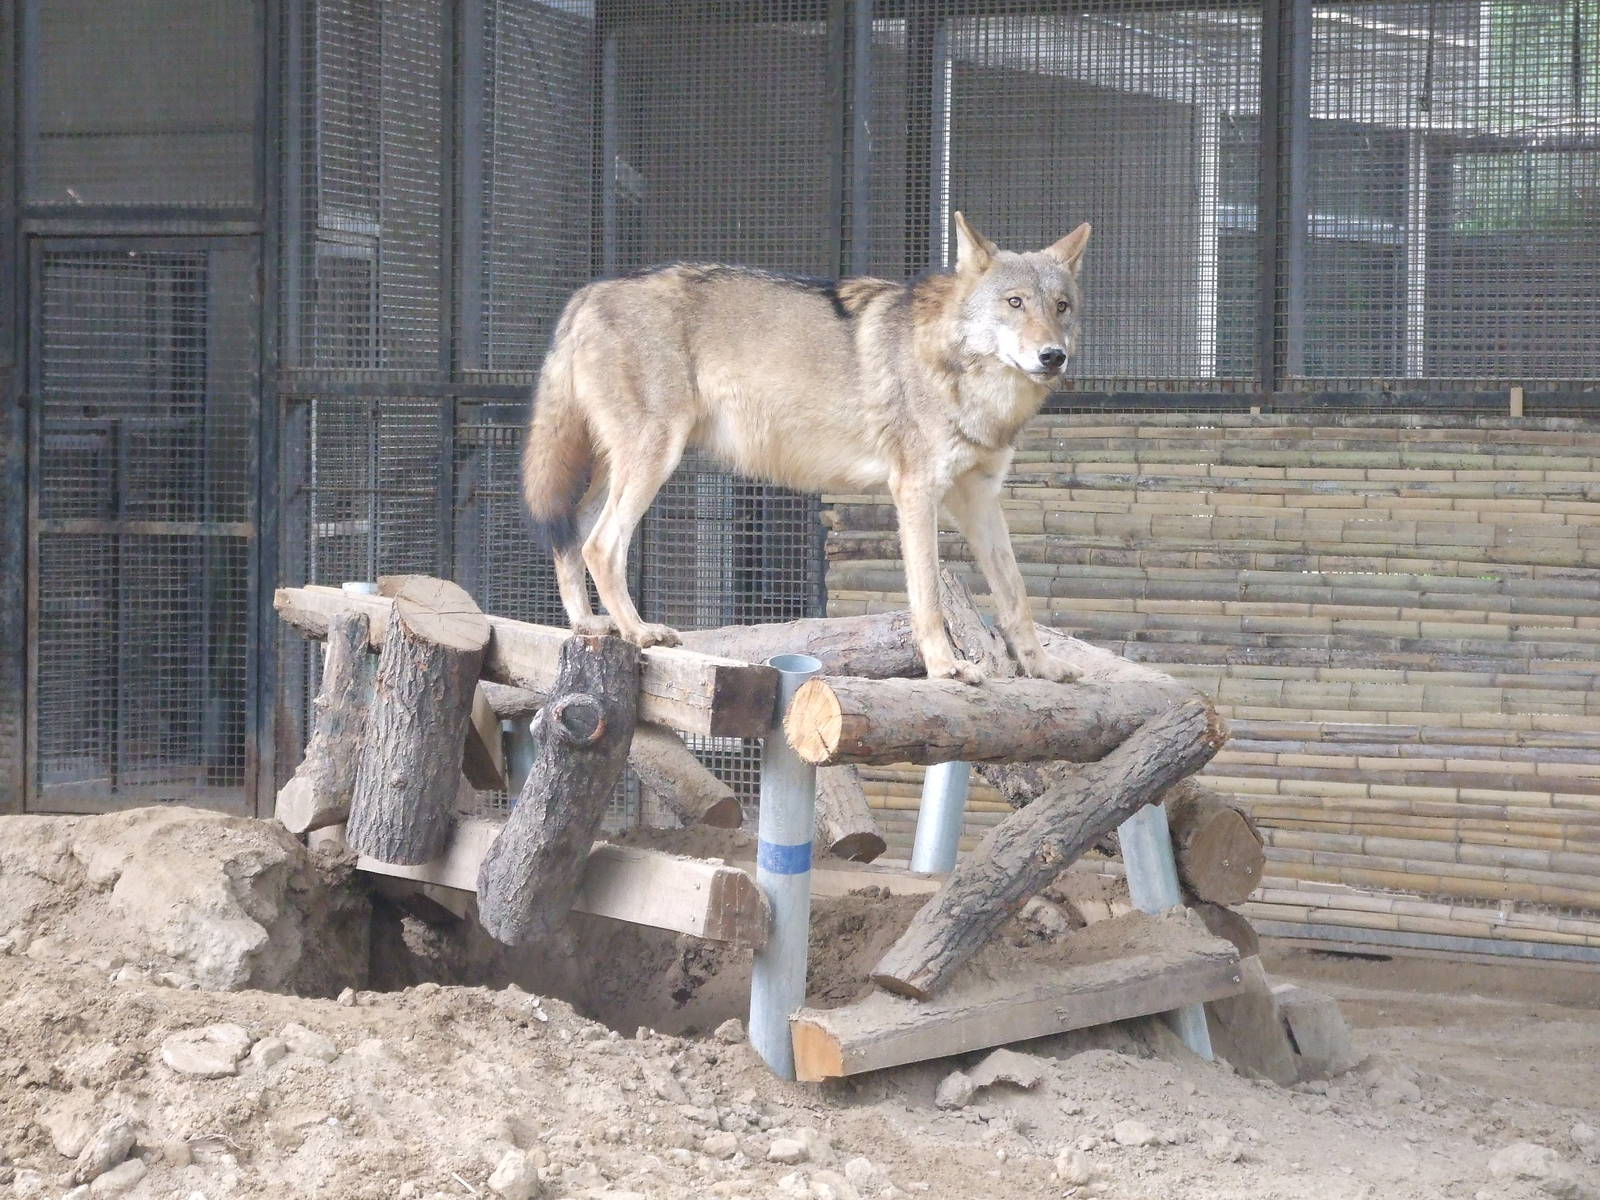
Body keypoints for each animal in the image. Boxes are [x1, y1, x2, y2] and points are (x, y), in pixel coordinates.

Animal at [521, 212, 1092, 685]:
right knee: (601, 544)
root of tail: (588, 293)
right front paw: (946, 667)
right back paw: (637, 631)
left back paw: (589, 626)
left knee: (573, 532)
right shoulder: (915, 490)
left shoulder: (980, 498)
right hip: (654, 458)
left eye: (1061, 307)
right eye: (1015, 303)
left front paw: (1043, 667)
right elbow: (928, 594)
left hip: (619, 466)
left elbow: (1016, 593)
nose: (1053, 356)